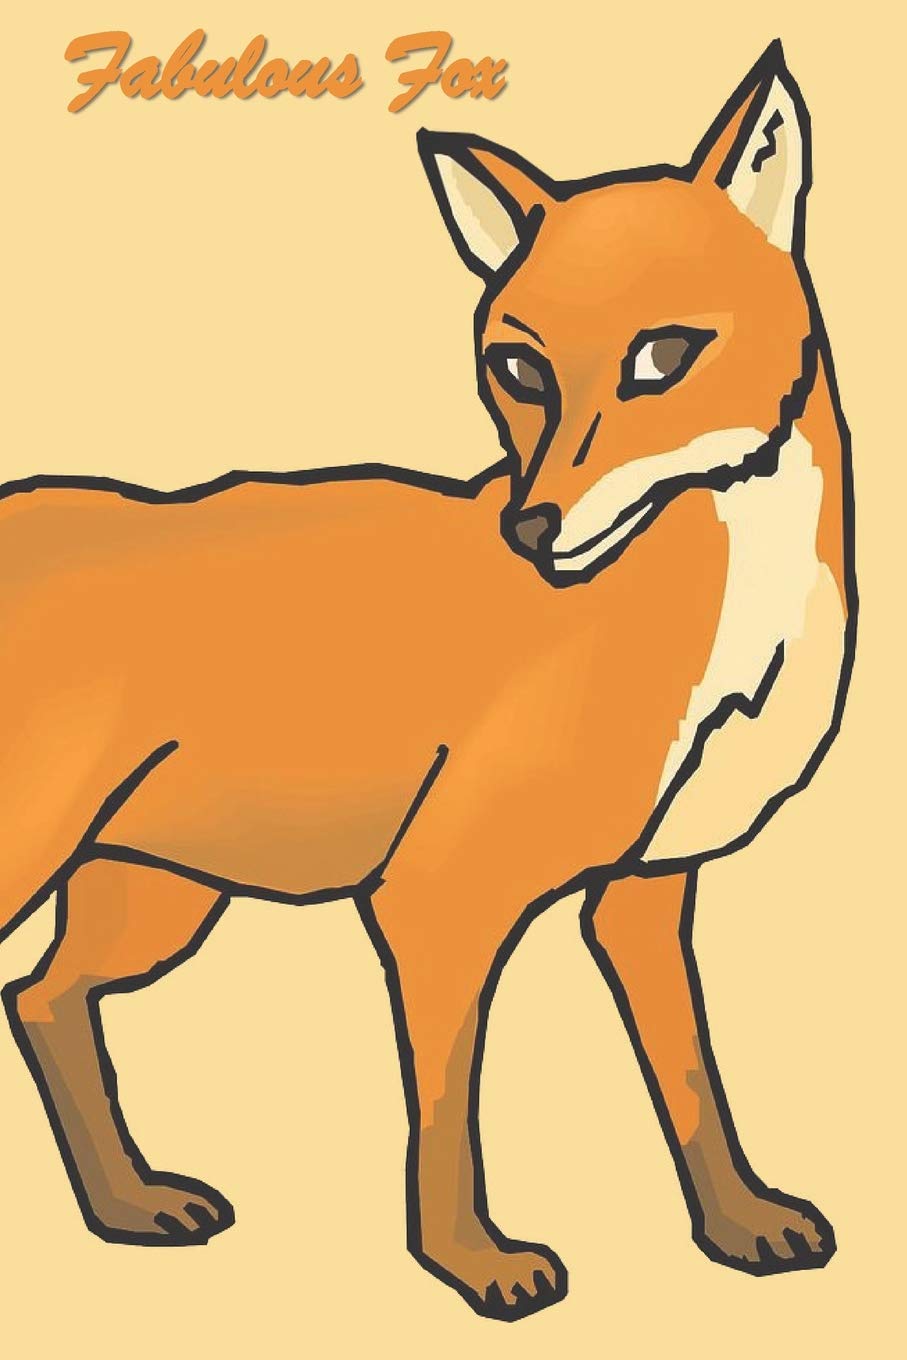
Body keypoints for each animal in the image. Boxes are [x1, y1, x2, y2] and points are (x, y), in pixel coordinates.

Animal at [0, 41, 854, 1320]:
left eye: (661, 355)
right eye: (516, 365)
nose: (529, 527)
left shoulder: (646, 889)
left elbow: (693, 1083)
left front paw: (737, 1224)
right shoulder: (437, 894)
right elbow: (448, 1115)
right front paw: (473, 1265)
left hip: (157, 897)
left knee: (43, 998)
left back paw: (127, 1204)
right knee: (37, 993)